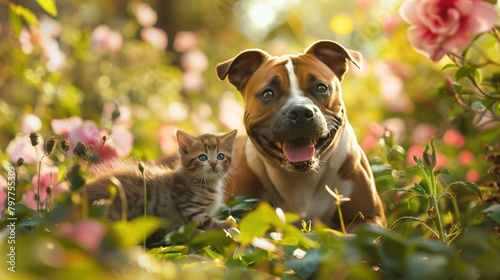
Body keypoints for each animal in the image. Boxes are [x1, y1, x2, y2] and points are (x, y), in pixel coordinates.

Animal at [83, 129, 237, 241]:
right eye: (202, 157)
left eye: (220, 156)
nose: (213, 164)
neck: (206, 183)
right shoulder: (189, 209)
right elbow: (209, 223)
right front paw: (228, 225)